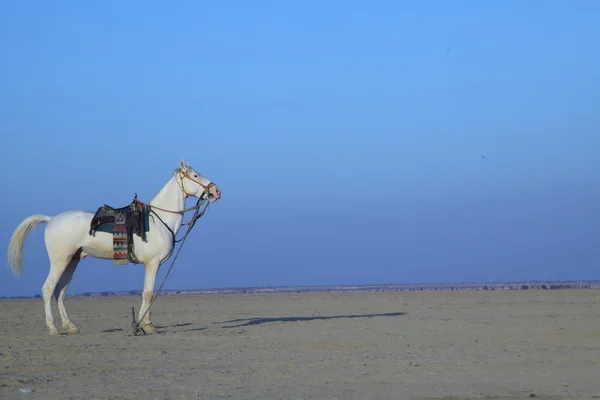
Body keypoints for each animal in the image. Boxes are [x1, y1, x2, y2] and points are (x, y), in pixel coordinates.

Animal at [5, 159, 221, 334]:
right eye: (195, 175)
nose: (216, 191)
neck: (159, 221)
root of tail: (50, 220)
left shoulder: (151, 265)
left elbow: (145, 293)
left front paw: (140, 325)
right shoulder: (153, 263)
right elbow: (148, 293)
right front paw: (148, 326)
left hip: (72, 261)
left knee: (61, 291)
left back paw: (70, 326)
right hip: (59, 261)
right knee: (48, 289)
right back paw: (53, 329)